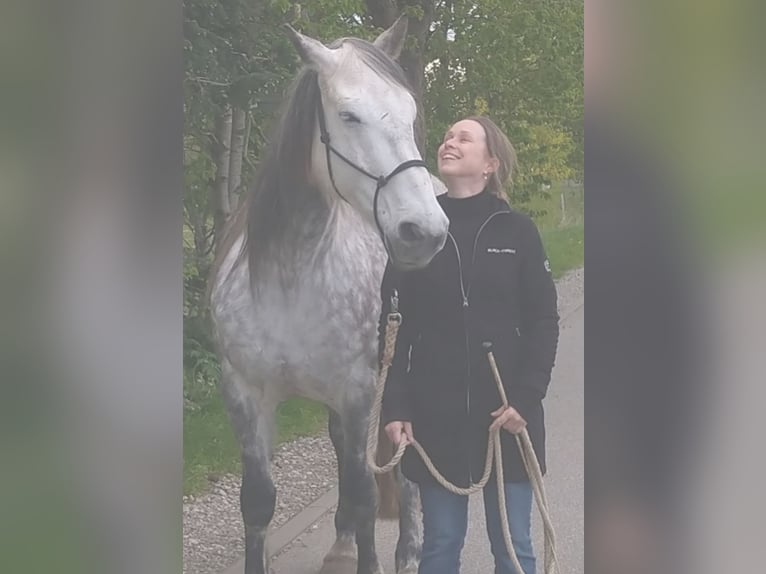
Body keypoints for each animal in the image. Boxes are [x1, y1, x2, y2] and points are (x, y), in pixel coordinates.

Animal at [209, 17, 449, 574]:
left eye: (408, 113)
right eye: (348, 115)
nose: (424, 232)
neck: (289, 277)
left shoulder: (357, 389)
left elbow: (364, 492)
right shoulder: (243, 393)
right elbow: (258, 501)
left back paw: (409, 550)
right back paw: (341, 543)